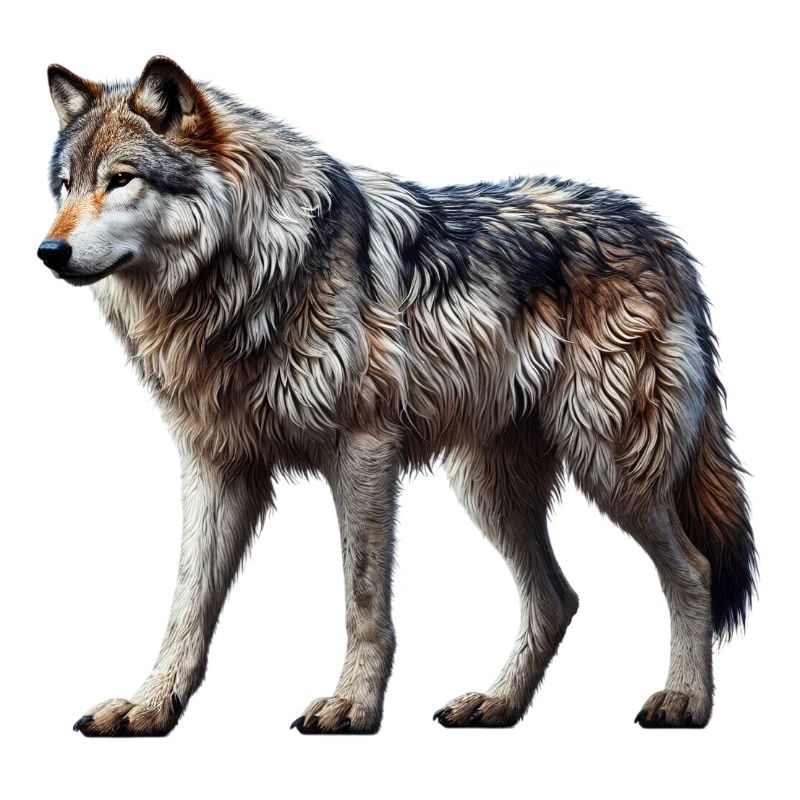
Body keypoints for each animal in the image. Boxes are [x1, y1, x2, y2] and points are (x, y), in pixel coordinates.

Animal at [39, 56, 756, 736]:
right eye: (67, 186)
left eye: (120, 179)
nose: (49, 250)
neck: (243, 277)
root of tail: (665, 239)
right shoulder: (216, 464)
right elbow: (186, 604)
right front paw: (149, 707)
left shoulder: (363, 451)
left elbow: (362, 600)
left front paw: (353, 706)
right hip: (491, 488)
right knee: (558, 599)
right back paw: (496, 704)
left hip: (611, 466)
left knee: (693, 570)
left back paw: (685, 701)